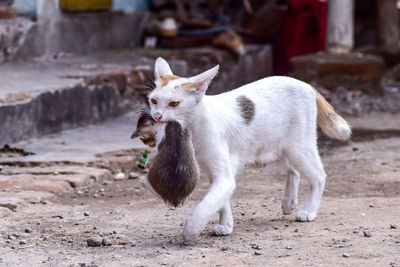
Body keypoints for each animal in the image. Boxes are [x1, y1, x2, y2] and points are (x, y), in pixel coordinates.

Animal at [145, 57, 350, 245]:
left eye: (174, 104)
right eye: (153, 101)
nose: (157, 115)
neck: (196, 124)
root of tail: (305, 83)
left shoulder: (223, 177)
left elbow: (205, 206)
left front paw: (190, 232)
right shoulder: (218, 173)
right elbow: (221, 201)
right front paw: (226, 225)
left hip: (299, 146)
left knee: (319, 176)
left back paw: (308, 211)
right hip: (285, 146)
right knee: (294, 171)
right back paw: (289, 202)